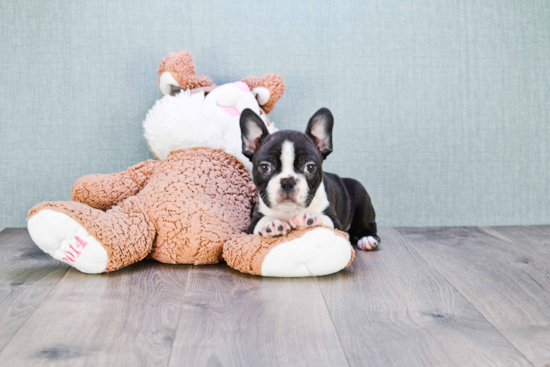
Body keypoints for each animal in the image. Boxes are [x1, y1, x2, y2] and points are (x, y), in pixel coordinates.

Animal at [239, 106, 382, 250]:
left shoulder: (334, 220)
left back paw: (367, 238)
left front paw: (309, 218)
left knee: (368, 224)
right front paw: (271, 224)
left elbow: (325, 219)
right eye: (264, 167)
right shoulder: (253, 222)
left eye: (310, 167)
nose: (287, 182)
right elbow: (261, 221)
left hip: (360, 192)